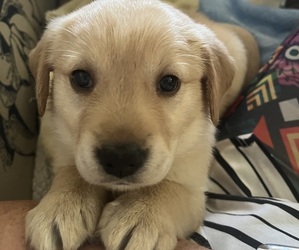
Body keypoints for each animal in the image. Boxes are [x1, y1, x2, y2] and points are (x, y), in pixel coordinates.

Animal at [25, 0, 260, 250]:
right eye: (81, 78)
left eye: (169, 82)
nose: (120, 159)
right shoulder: (58, 140)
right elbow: (73, 171)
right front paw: (60, 206)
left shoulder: (194, 189)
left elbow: (167, 188)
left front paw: (142, 215)